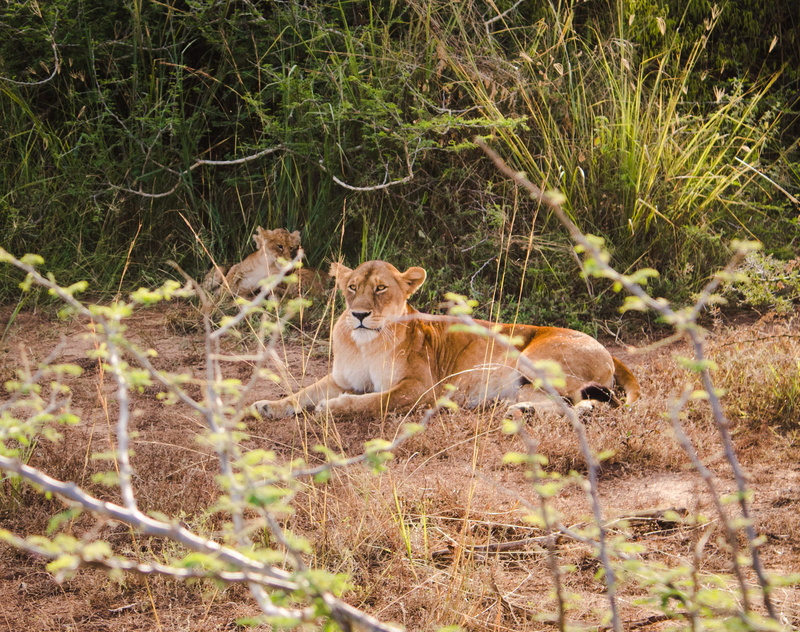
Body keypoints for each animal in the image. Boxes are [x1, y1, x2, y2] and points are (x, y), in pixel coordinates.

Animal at [254, 260, 640, 419]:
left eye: (380, 289)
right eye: (351, 288)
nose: (359, 315)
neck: (366, 343)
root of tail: (609, 351)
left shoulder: (422, 388)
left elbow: (373, 401)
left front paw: (333, 408)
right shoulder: (340, 379)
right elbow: (302, 393)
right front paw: (268, 406)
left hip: (534, 359)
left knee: (586, 402)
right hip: (527, 383)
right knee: (575, 404)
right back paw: (523, 410)